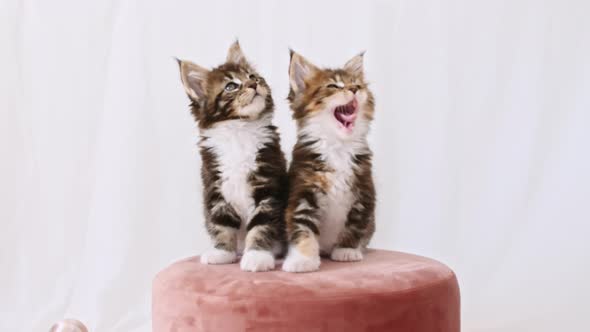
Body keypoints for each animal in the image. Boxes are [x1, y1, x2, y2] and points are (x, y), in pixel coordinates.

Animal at [178, 42, 290, 272]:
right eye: (231, 86)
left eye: (252, 76)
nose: (254, 83)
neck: (239, 130)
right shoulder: (216, 186)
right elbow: (221, 225)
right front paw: (221, 252)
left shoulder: (268, 188)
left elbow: (262, 225)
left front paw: (257, 255)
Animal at [284, 50, 376, 272]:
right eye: (333, 86)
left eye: (356, 84)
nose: (354, 89)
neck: (338, 148)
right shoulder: (303, 191)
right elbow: (303, 228)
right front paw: (302, 260)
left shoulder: (364, 191)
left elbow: (356, 224)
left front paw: (347, 251)